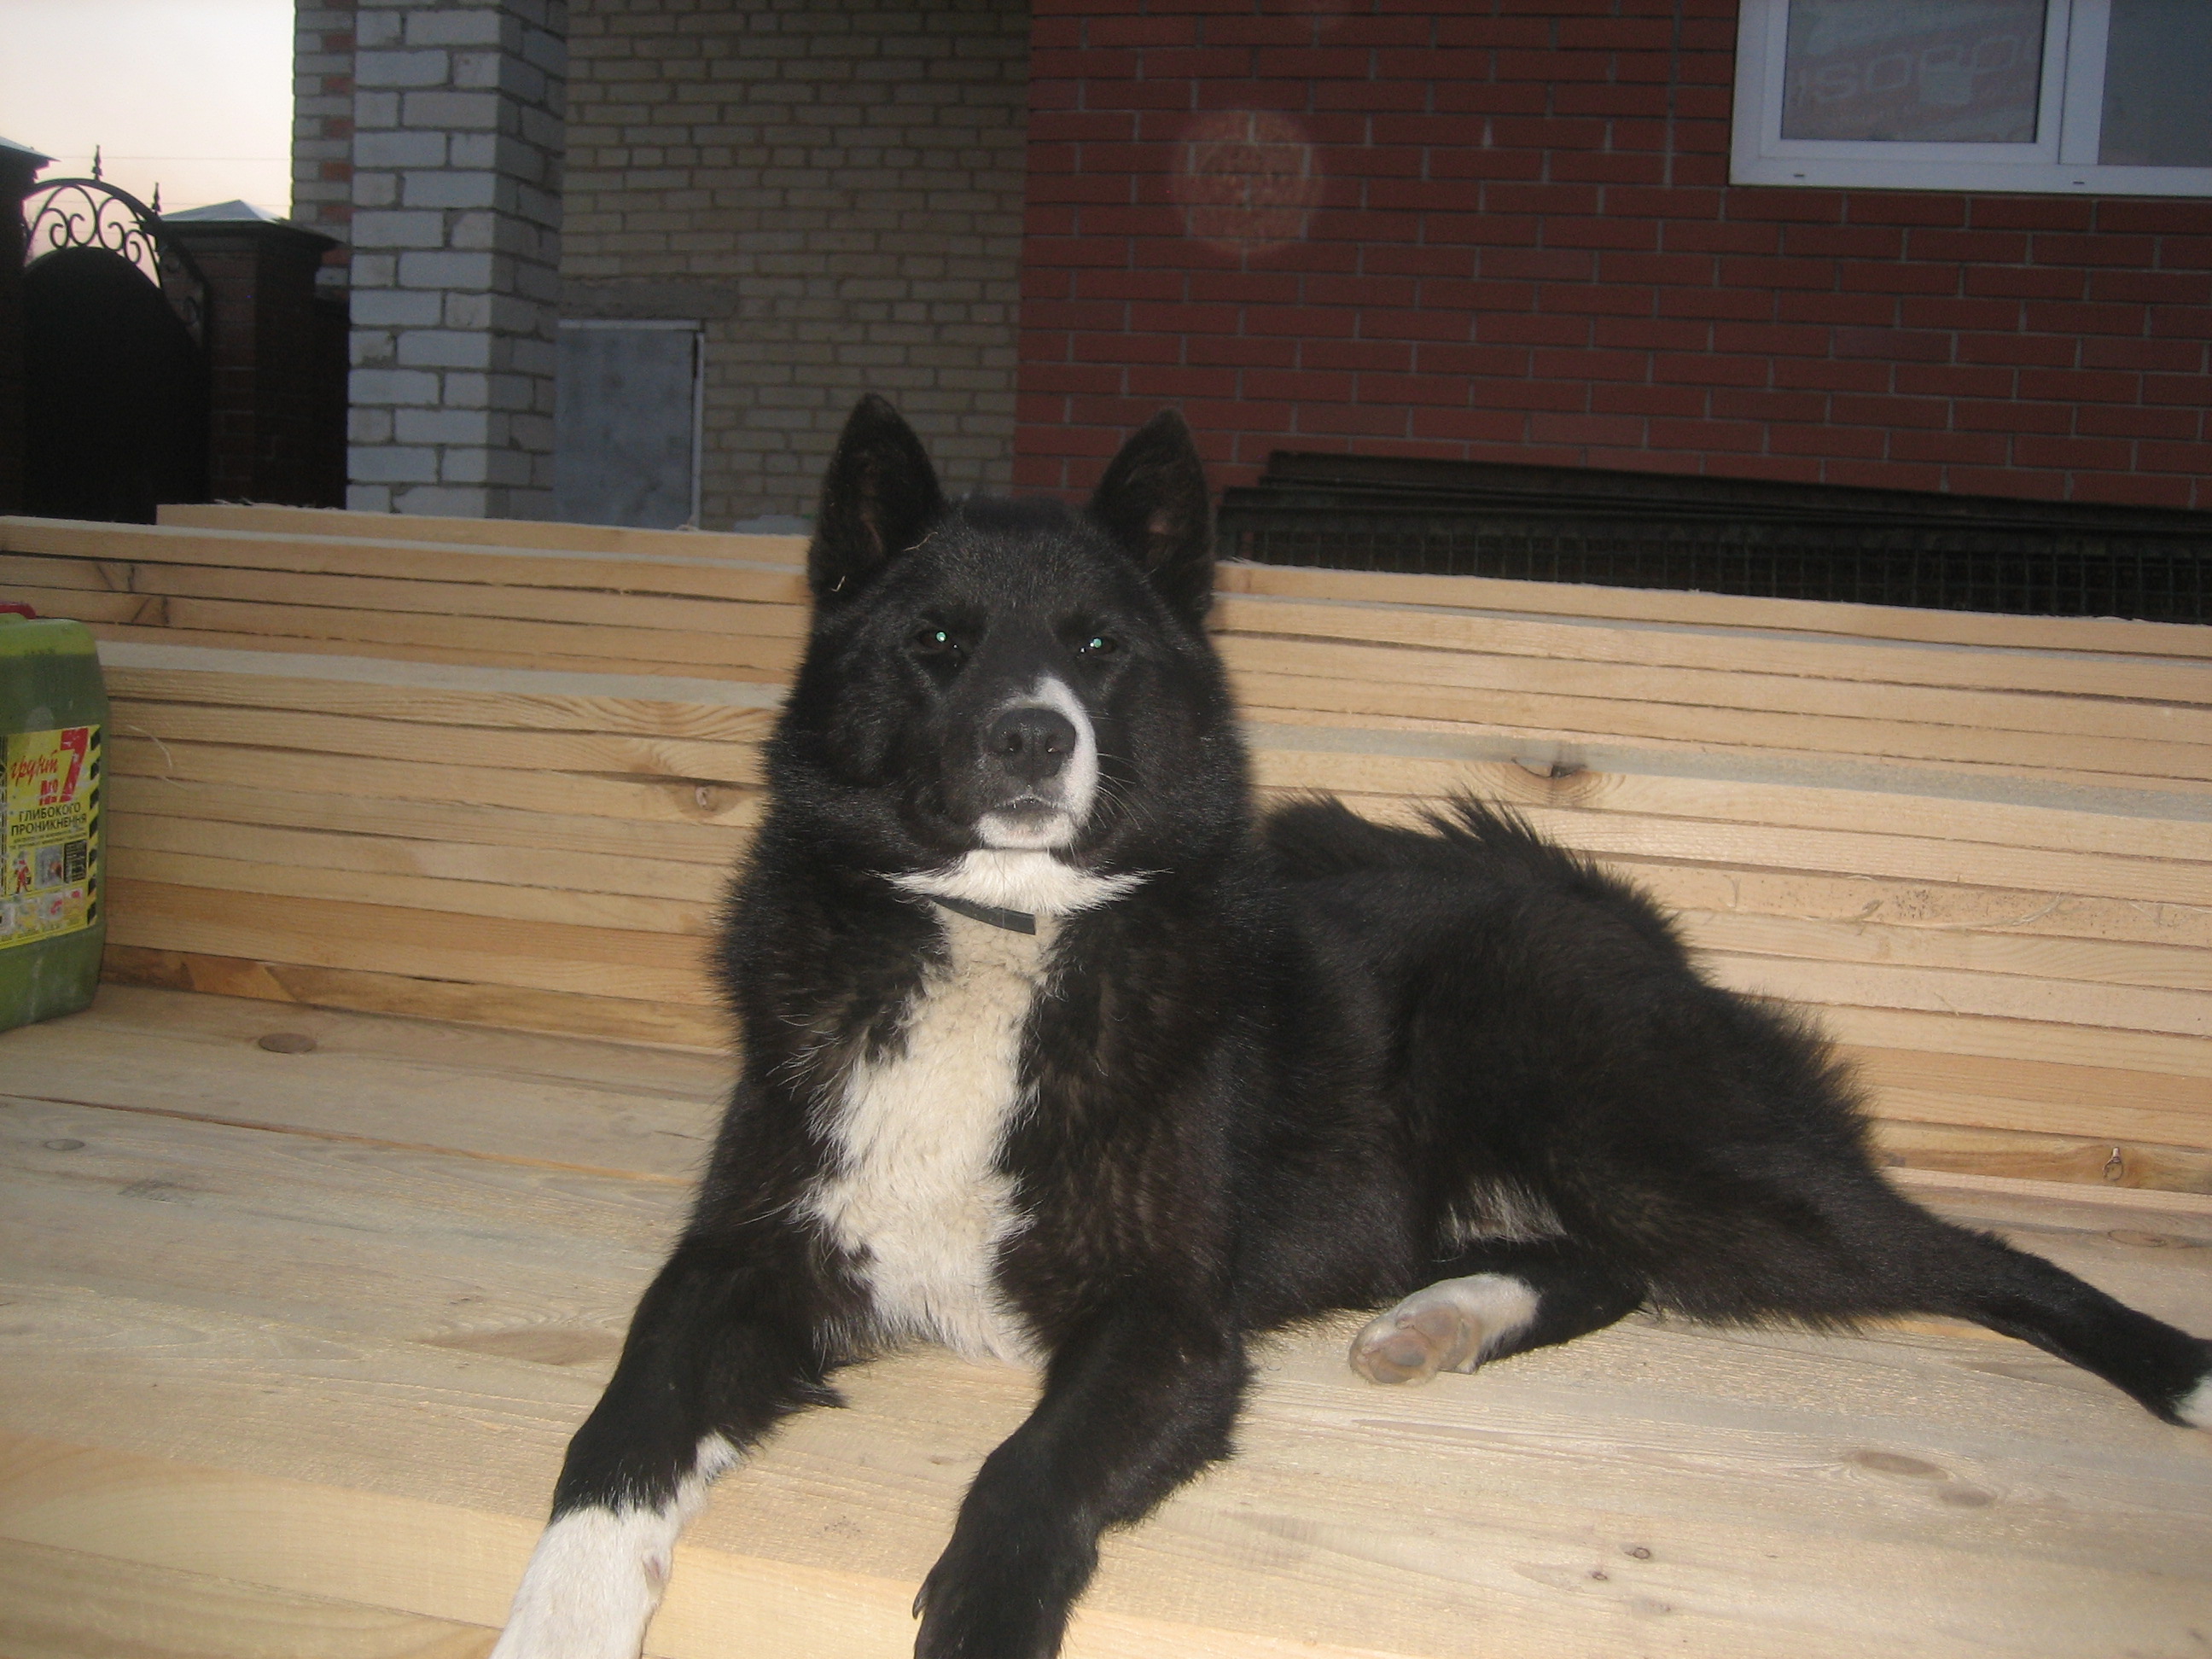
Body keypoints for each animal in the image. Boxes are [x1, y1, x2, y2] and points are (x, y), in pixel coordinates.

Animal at [492, 396, 2212, 1659]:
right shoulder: (742, 1258)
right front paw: (560, 1614)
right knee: (1605, 1266)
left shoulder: (1171, 1328)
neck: (1003, 939)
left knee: (1969, 1259)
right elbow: (615, 1429)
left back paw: (2179, 1369)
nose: (1035, 733)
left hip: (1672, 1154)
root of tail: (1605, 902)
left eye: (1098, 645)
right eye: (935, 642)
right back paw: (1446, 1315)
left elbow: (1021, 1481)